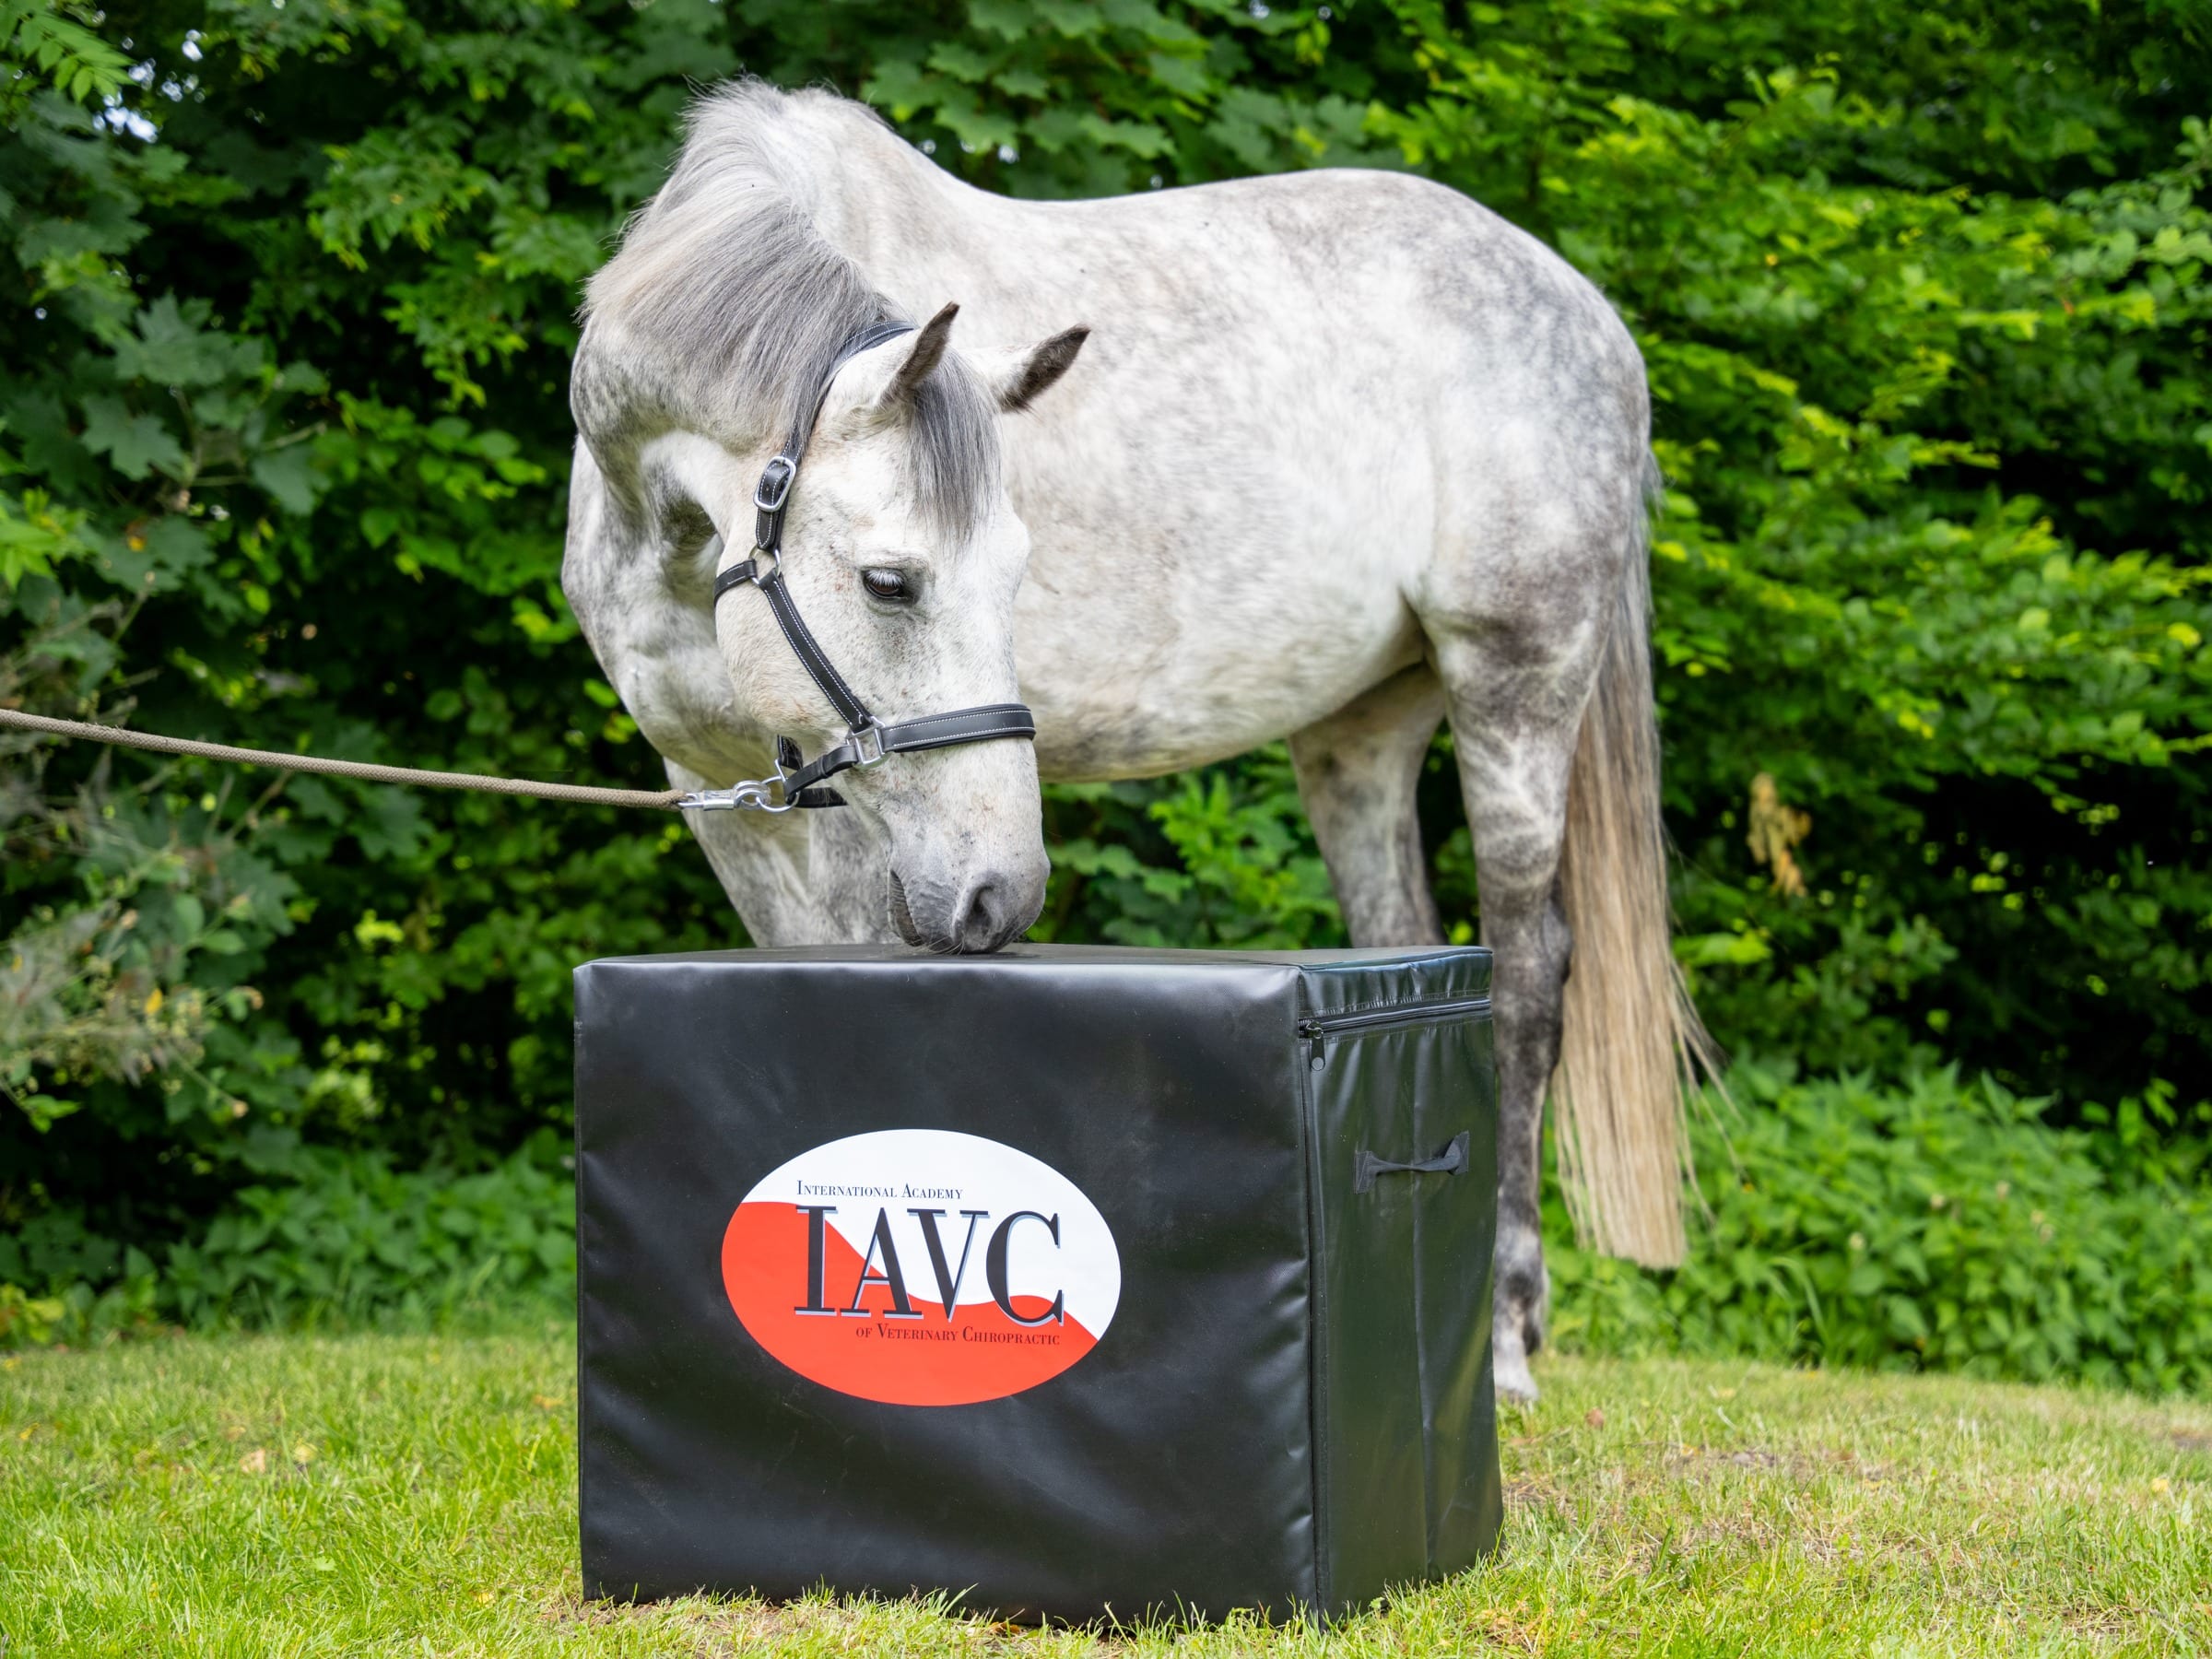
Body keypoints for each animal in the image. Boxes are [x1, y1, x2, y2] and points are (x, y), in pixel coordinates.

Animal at [562, 80, 1703, 1403]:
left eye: (1015, 574)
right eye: (892, 582)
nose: (1003, 894)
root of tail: (1588, 316)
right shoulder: (719, 788)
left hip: (1518, 680)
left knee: (1524, 978)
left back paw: (1510, 1340)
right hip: (1362, 732)